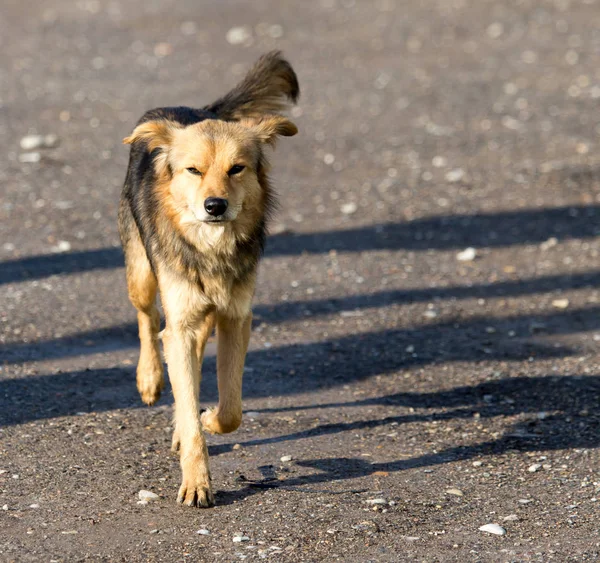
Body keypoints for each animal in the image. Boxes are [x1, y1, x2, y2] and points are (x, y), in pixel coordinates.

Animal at [118, 53, 298, 508]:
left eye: (237, 169)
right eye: (193, 170)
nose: (214, 206)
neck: (211, 246)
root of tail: (190, 110)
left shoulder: (236, 317)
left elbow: (231, 407)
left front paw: (210, 418)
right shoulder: (179, 321)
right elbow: (183, 384)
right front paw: (197, 481)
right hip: (142, 274)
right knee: (148, 320)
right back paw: (150, 379)